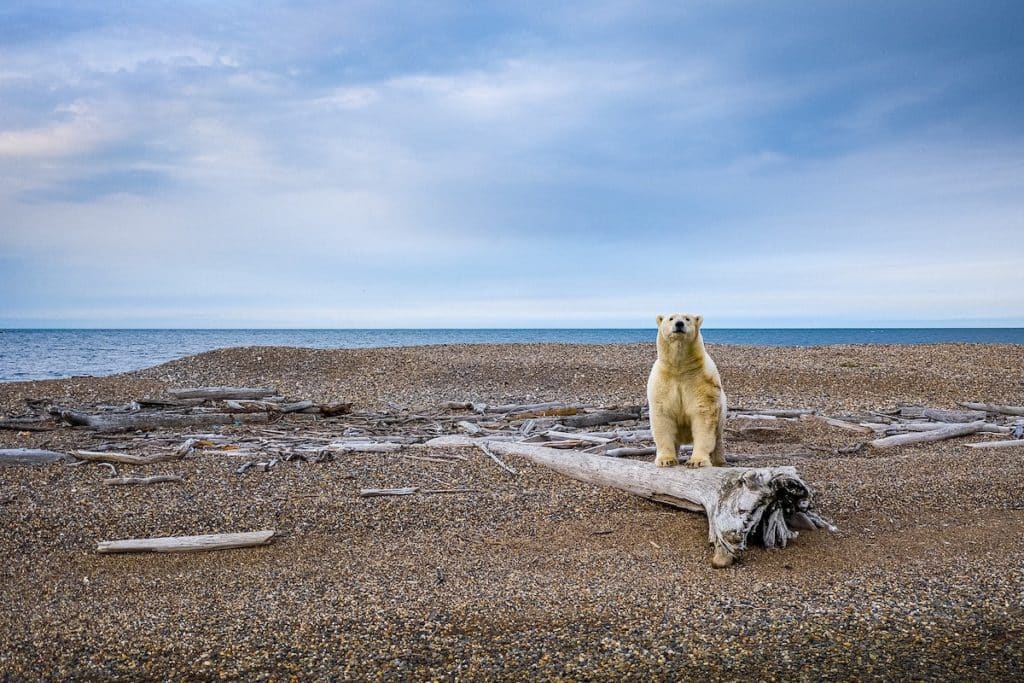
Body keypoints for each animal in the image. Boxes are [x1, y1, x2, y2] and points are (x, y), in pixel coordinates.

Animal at [647, 313, 729, 466]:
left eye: (687, 318)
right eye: (671, 318)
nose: (679, 324)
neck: (680, 368)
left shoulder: (701, 381)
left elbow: (703, 416)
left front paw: (697, 461)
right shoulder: (663, 382)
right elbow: (663, 416)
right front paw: (666, 460)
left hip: (722, 416)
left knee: (718, 439)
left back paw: (719, 461)